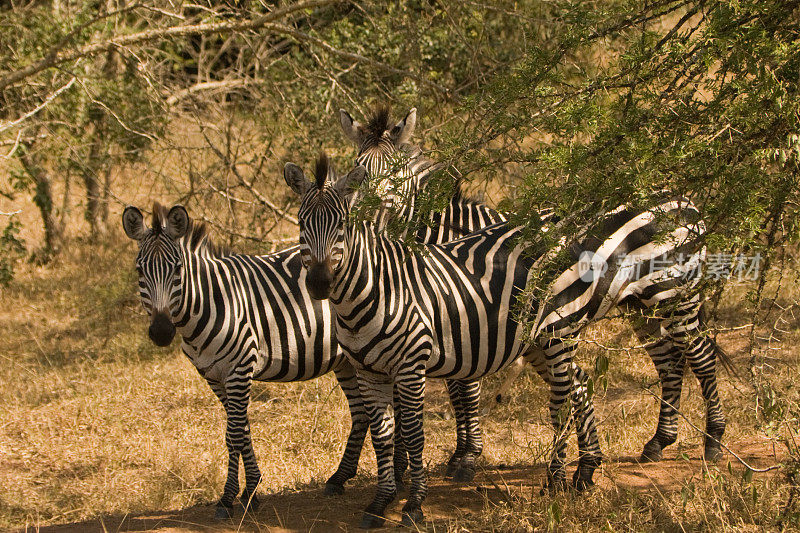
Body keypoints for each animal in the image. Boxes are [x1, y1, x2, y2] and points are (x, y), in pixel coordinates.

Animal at [286, 154, 724, 528]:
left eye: (342, 226)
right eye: (301, 224)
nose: (320, 284)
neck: (375, 290)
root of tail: (678, 196)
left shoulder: (412, 364)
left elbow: (414, 431)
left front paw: (415, 504)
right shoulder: (369, 370)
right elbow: (383, 435)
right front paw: (379, 503)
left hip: (671, 293)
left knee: (698, 357)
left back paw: (712, 444)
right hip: (625, 310)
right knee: (637, 369)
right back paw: (616, 459)